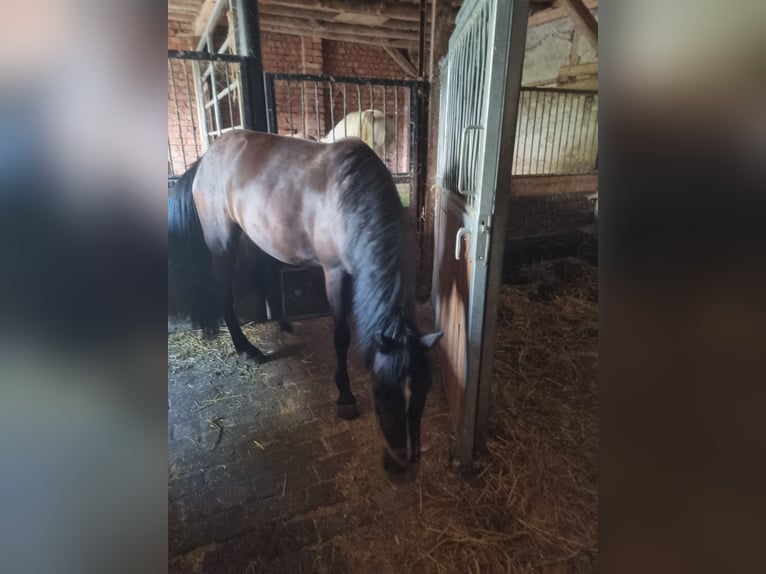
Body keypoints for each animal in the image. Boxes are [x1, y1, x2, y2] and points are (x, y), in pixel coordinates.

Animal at [168, 132, 444, 476]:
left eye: (424, 389)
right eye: (381, 391)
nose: (403, 461)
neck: (351, 197)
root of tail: (205, 159)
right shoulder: (334, 274)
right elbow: (341, 337)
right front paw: (345, 396)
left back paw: (283, 324)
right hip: (223, 242)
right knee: (224, 294)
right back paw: (247, 349)